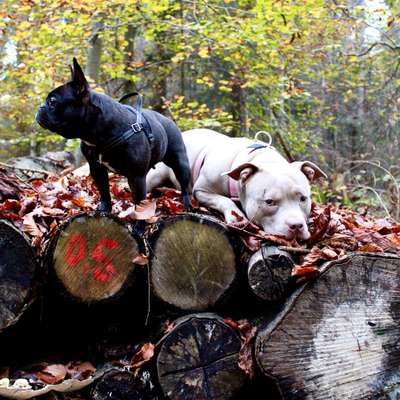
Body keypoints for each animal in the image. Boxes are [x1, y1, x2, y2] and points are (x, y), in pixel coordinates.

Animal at [35, 58, 191, 216]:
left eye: (52, 102)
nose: (40, 107)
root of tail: (167, 120)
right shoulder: (97, 169)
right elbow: (104, 191)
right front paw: (104, 210)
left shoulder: (137, 177)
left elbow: (139, 202)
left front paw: (139, 221)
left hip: (180, 162)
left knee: (184, 186)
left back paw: (187, 205)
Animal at [147, 129, 324, 241]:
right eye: (269, 202)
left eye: (303, 199)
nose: (296, 226)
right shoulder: (201, 190)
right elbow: (224, 200)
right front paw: (236, 216)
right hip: (156, 175)